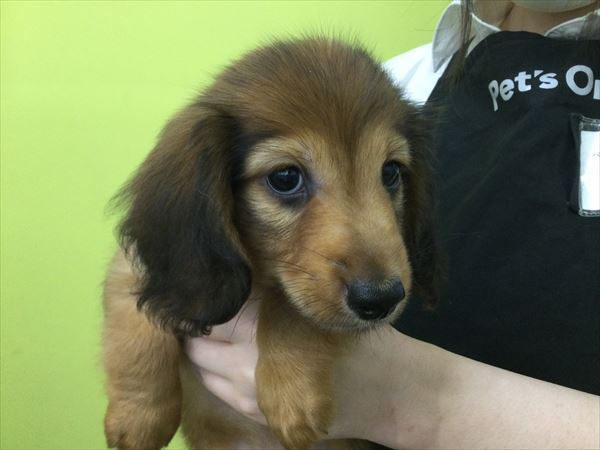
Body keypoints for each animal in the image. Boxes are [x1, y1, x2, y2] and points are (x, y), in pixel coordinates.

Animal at [102, 36, 439, 450]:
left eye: (390, 171)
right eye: (285, 178)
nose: (381, 299)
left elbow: (292, 309)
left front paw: (292, 394)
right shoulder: (138, 269)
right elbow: (137, 326)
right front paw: (137, 418)